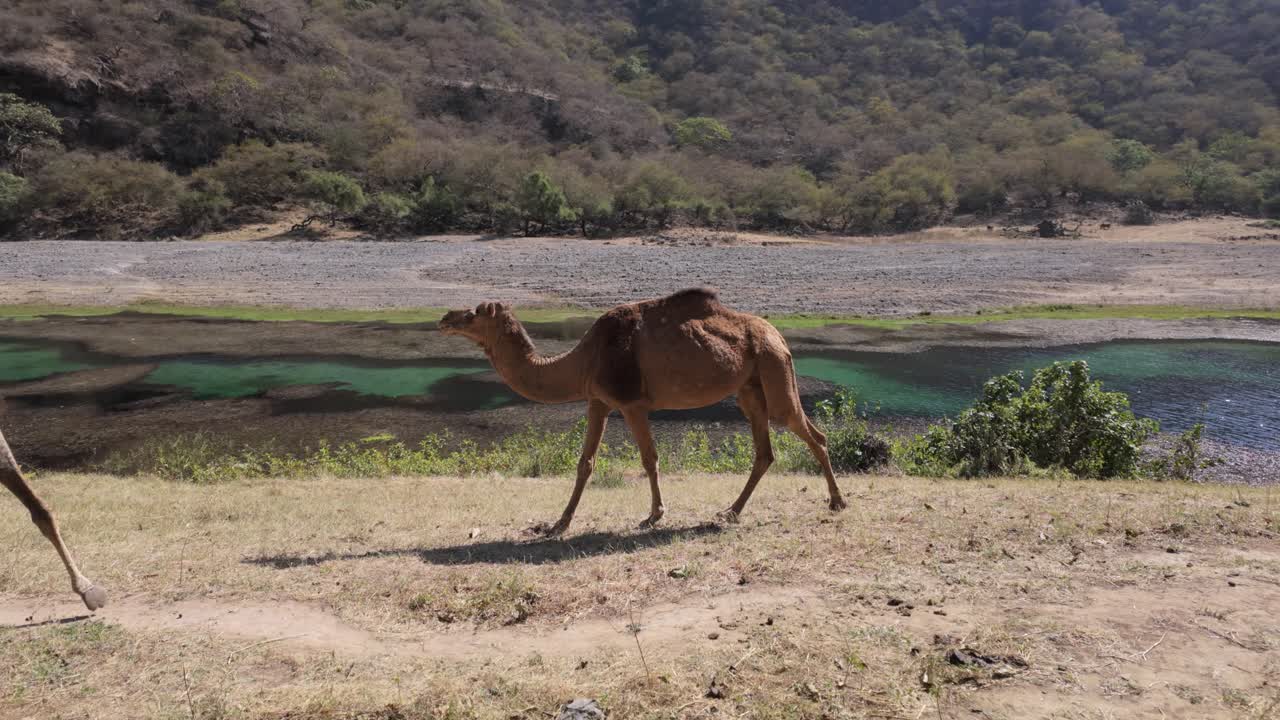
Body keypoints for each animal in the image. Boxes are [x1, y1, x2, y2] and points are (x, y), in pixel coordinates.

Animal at [439, 288, 846, 535]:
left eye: (474, 314)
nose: (444, 318)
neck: (584, 359)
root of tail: (779, 335)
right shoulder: (598, 400)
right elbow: (585, 462)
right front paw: (559, 523)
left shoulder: (631, 402)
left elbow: (649, 458)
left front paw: (654, 515)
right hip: (749, 388)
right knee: (765, 451)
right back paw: (730, 511)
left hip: (774, 368)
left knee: (811, 433)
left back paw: (837, 502)